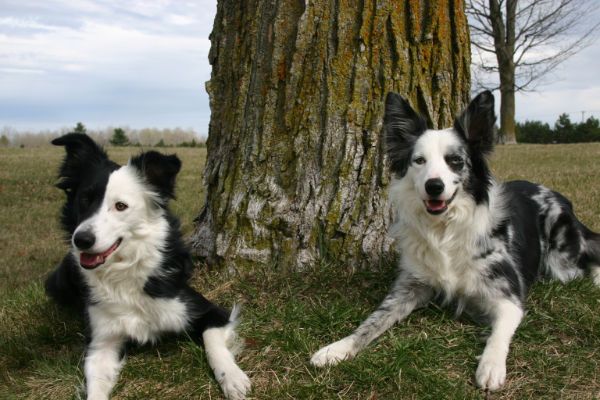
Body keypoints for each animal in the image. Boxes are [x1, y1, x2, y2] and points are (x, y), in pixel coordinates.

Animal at [45, 133, 250, 400]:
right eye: (84, 199)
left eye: (120, 206)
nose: (81, 240)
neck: (125, 270)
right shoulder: (101, 342)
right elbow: (95, 385)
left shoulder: (207, 310)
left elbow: (214, 343)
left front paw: (232, 378)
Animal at [311, 91, 600, 391]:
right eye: (419, 161)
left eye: (455, 160)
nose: (434, 186)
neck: (445, 229)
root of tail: (558, 196)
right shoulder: (408, 287)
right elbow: (372, 321)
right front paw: (338, 348)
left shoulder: (509, 297)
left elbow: (498, 334)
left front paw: (491, 366)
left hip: (561, 262)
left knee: (590, 253)